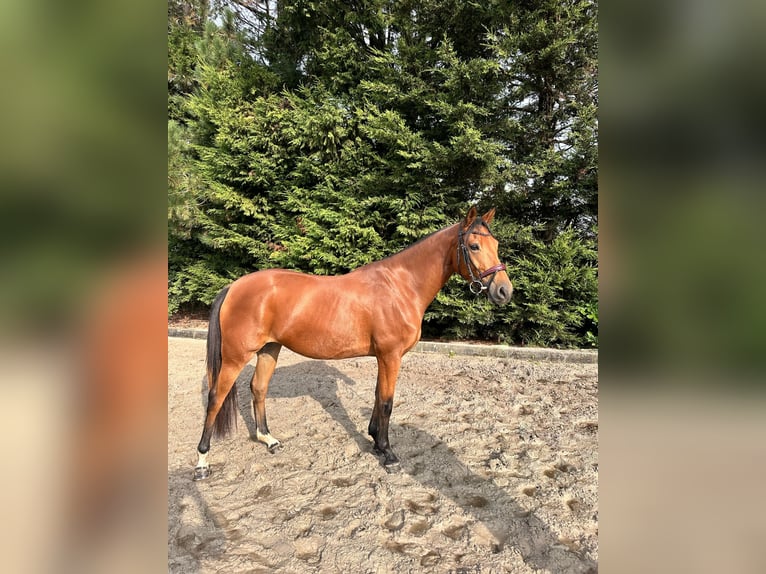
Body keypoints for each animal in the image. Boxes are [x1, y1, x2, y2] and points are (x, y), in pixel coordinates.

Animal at [193, 206, 512, 480]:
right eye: (474, 246)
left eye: (496, 244)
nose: (504, 291)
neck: (400, 287)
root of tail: (233, 286)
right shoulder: (390, 355)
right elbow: (387, 402)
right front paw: (388, 454)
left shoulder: (383, 357)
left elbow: (377, 396)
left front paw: (375, 441)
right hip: (235, 356)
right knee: (216, 397)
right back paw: (202, 462)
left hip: (269, 349)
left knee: (258, 388)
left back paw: (268, 439)